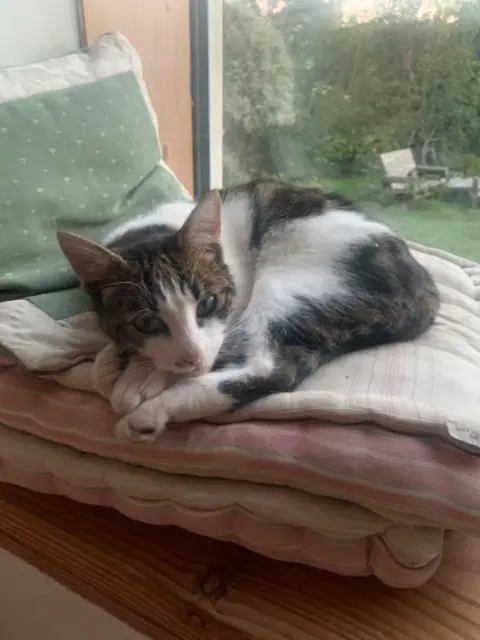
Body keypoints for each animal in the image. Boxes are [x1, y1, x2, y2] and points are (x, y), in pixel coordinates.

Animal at [57, 180, 440, 442]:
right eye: (146, 322)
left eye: (208, 303)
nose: (192, 357)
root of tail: (427, 289)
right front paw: (120, 364)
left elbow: (213, 348)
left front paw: (142, 378)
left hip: (295, 282)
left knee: (271, 367)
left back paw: (151, 413)